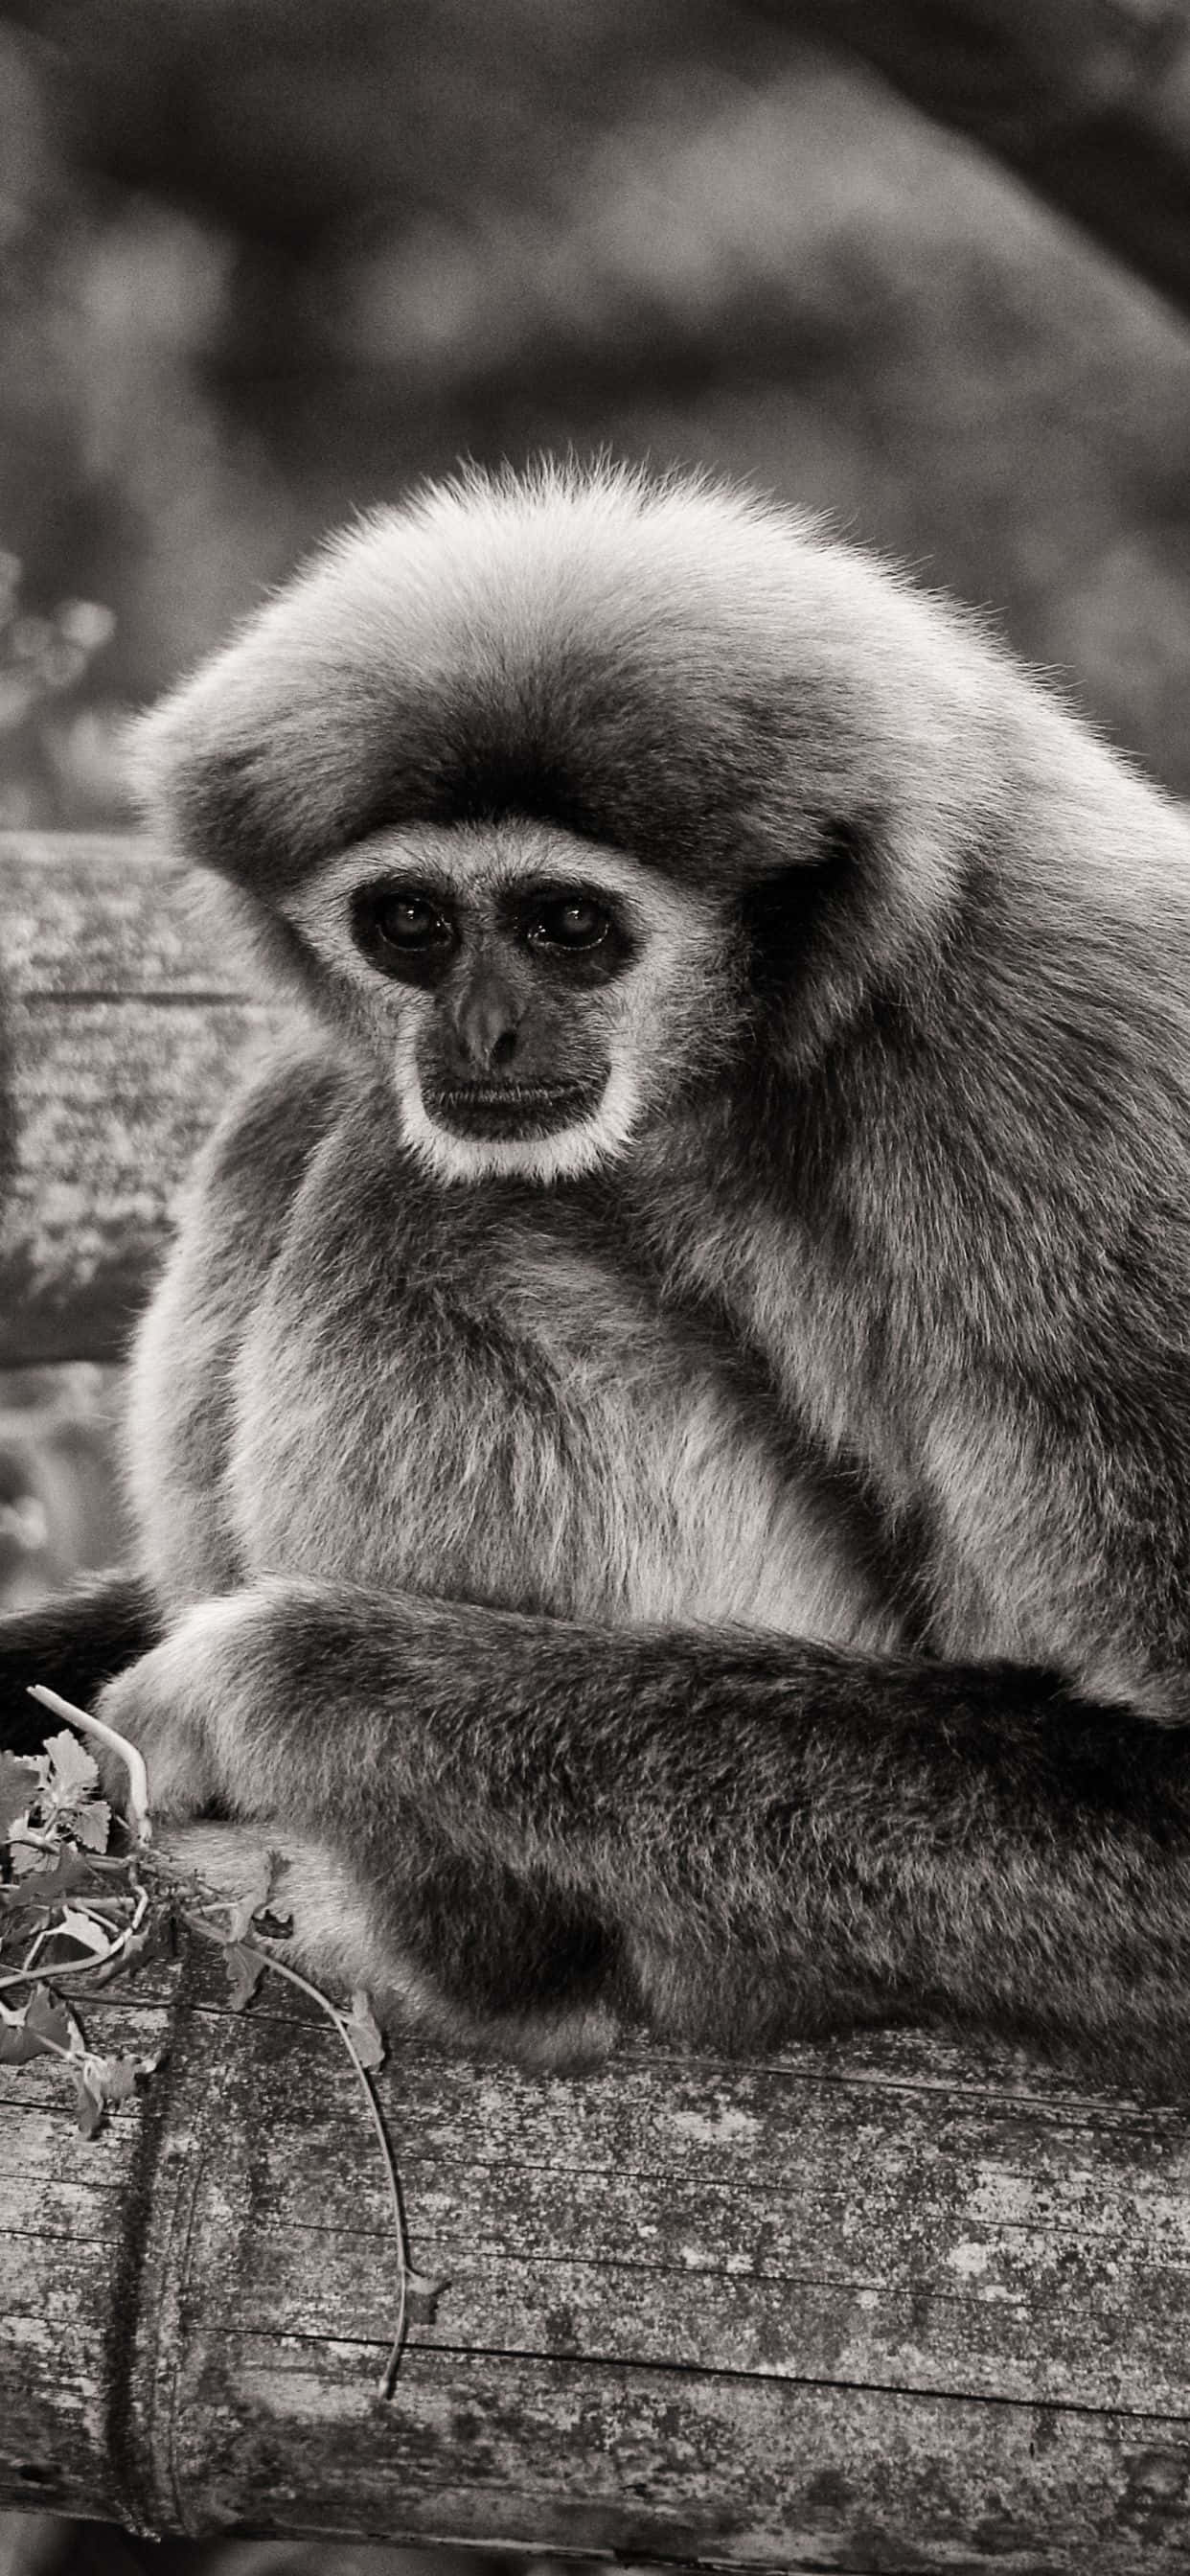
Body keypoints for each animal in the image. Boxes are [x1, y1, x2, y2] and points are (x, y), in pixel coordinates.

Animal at [5, 459, 1190, 2076]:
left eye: (568, 925)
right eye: (410, 922)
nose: (485, 1030)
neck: (792, 1027)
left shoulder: (1079, 1083)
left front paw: (271, 1680)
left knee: (410, 1181)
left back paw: (467, 1948)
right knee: (319, 1103)